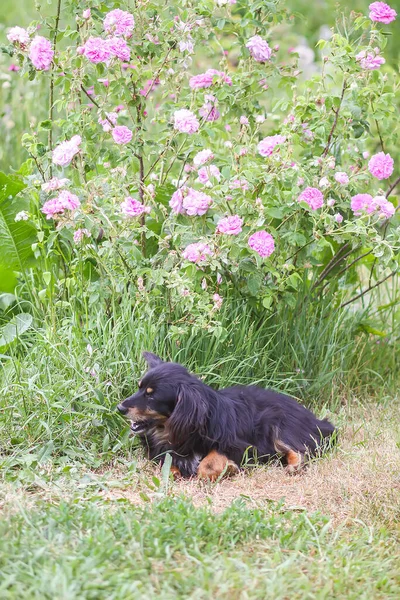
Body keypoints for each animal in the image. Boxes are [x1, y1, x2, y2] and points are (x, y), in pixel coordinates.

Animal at [116, 354, 334, 480]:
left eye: (151, 396)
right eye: (139, 388)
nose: (119, 408)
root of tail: (317, 420)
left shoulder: (240, 446)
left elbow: (207, 464)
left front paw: (229, 468)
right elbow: (166, 466)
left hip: (279, 424)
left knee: (301, 449)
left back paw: (294, 466)